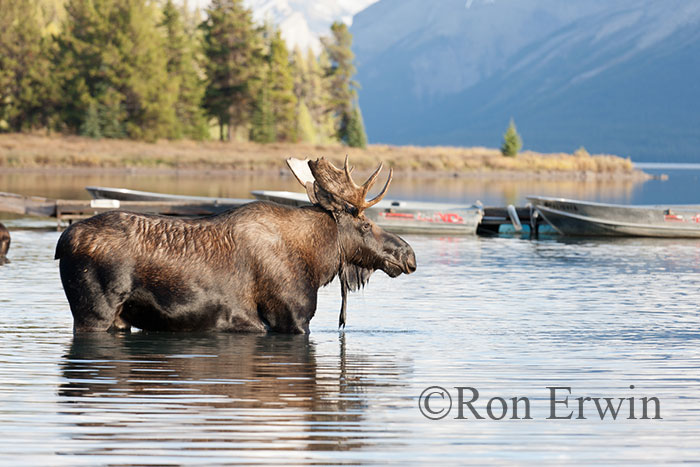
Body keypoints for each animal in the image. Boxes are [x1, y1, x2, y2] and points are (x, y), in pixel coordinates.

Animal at [56, 157, 416, 332]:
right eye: (366, 224)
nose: (408, 254)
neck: (317, 262)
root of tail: (62, 242)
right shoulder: (291, 320)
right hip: (94, 314)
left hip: (118, 319)